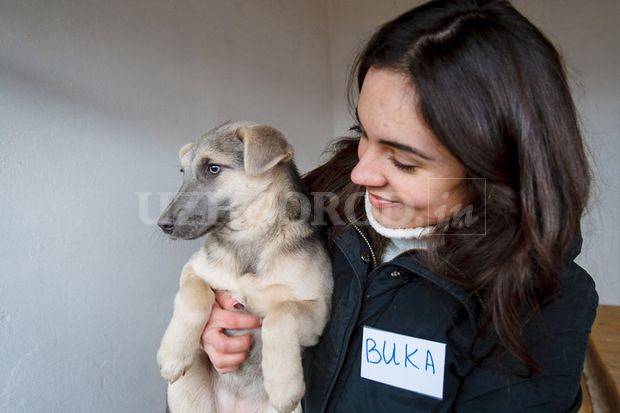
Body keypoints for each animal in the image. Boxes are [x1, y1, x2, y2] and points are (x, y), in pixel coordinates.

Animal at [157, 120, 332, 410]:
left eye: (213, 168)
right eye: (183, 173)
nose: (162, 225)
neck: (249, 237)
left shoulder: (319, 309)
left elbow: (280, 313)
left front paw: (283, 386)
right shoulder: (191, 271)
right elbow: (196, 292)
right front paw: (173, 353)